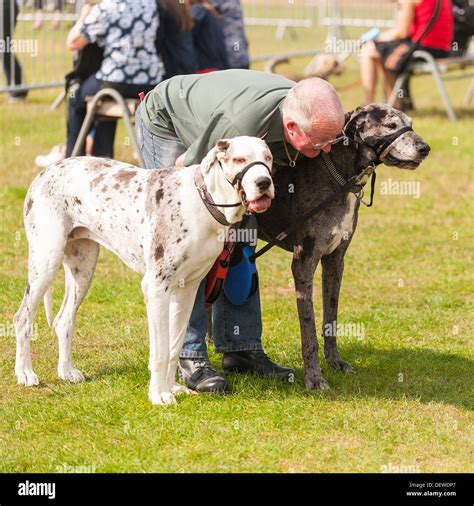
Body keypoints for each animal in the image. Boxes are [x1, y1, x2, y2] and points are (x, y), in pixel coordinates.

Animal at [13, 136, 274, 406]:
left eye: (268, 158)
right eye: (239, 159)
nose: (264, 182)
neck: (204, 200)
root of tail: (45, 171)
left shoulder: (187, 291)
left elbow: (174, 346)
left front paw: (173, 388)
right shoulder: (157, 289)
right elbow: (160, 352)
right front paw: (158, 395)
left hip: (83, 269)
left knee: (64, 320)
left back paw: (66, 371)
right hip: (45, 261)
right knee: (22, 318)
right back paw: (26, 373)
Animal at [258, 102, 432, 388]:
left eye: (410, 123)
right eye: (391, 125)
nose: (425, 148)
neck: (339, 177)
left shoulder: (335, 261)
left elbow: (331, 316)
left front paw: (334, 362)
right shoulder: (303, 263)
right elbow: (309, 327)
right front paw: (314, 377)